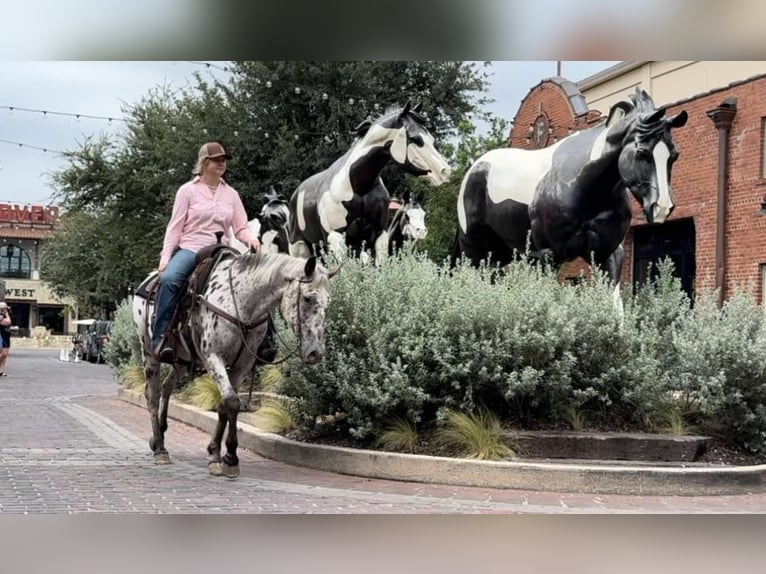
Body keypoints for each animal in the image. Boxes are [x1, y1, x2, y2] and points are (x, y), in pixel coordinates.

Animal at [132, 251, 338, 477]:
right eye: (308, 298)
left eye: (329, 302)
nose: (315, 353)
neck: (240, 304)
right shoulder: (213, 357)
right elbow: (231, 401)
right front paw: (229, 457)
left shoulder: (243, 365)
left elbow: (226, 405)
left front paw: (217, 452)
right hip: (150, 353)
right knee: (153, 395)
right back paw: (160, 448)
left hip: (183, 361)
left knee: (167, 386)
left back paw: (158, 436)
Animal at [288, 100, 451, 263]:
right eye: (415, 139)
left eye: (432, 140)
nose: (445, 171)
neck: (359, 186)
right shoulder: (335, 237)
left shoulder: (378, 236)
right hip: (299, 247)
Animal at [454, 87, 688, 304]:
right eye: (641, 153)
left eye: (674, 155)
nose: (662, 207)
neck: (587, 188)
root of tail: (474, 169)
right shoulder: (547, 254)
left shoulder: (609, 253)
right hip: (474, 253)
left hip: (498, 255)